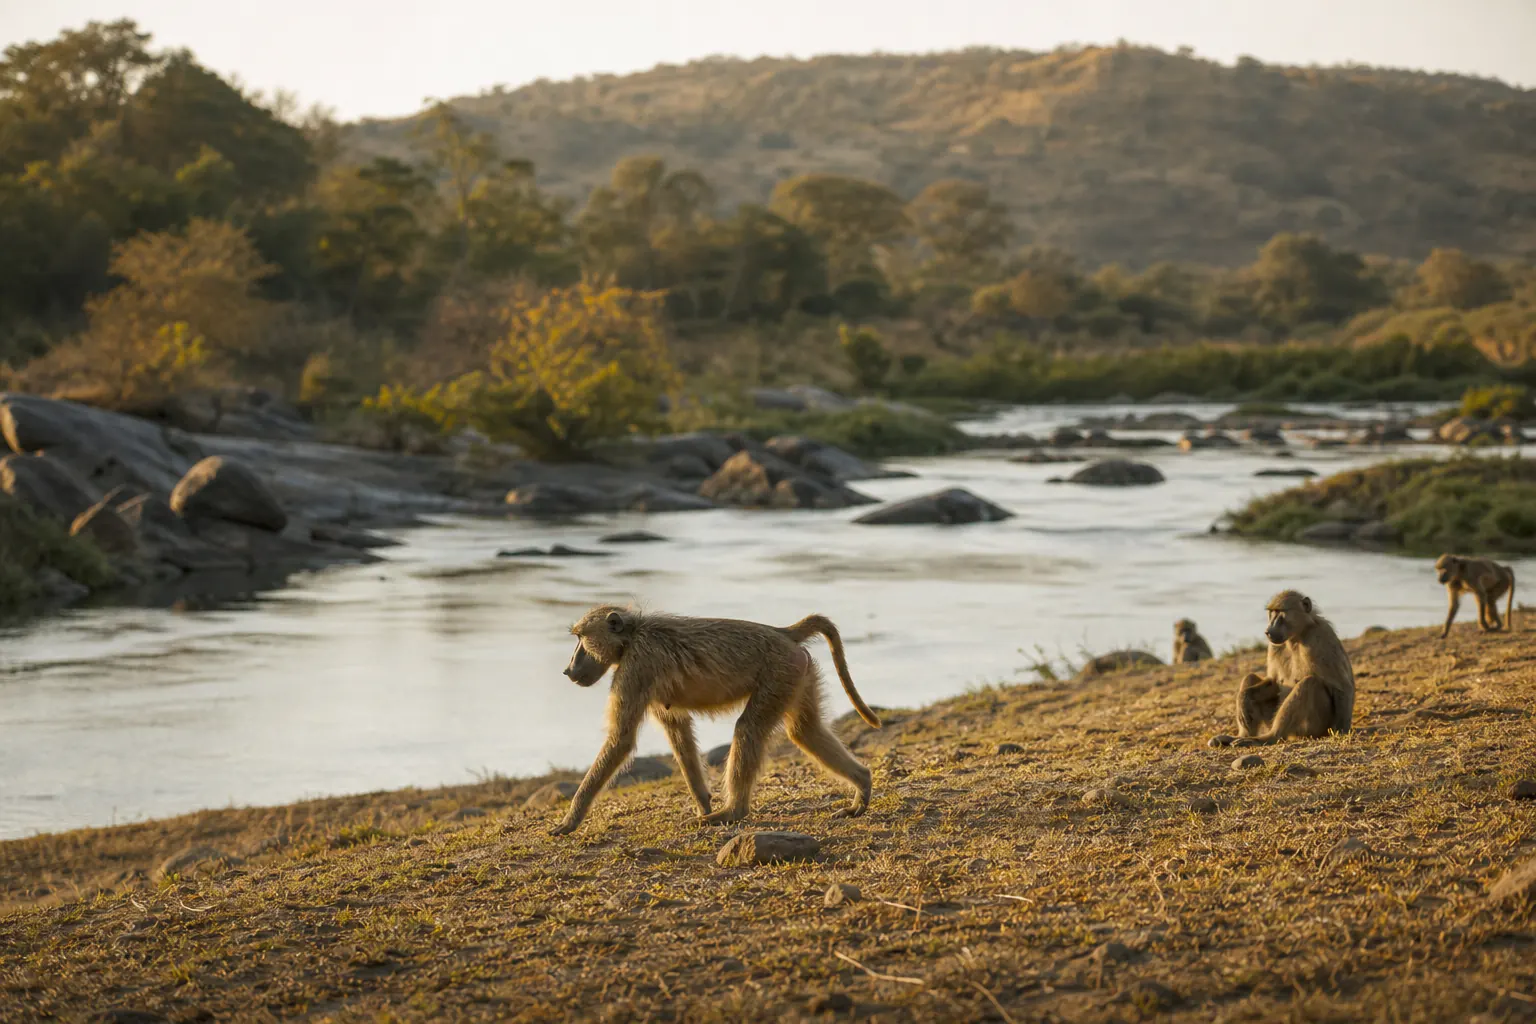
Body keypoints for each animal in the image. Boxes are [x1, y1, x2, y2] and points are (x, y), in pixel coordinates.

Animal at [549, 606, 881, 836]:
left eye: (581, 639)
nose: (567, 669)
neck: (632, 636)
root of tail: (783, 632)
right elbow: (678, 733)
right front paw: (703, 804)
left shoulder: (636, 668)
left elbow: (621, 739)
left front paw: (569, 821)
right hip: (797, 671)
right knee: (804, 731)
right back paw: (862, 784)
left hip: (780, 671)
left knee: (749, 728)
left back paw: (733, 812)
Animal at [1209, 590, 1354, 748]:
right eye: (1271, 612)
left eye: (1280, 613)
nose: (1268, 631)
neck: (1296, 637)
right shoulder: (1274, 645)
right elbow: (1274, 681)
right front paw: (1244, 698)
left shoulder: (1321, 636)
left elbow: (1342, 686)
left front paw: (1341, 731)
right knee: (1250, 678)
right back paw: (1238, 736)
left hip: (1313, 727)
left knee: (1309, 683)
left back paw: (1267, 738)